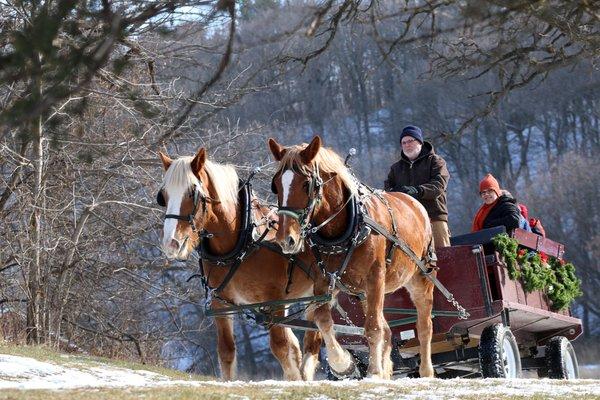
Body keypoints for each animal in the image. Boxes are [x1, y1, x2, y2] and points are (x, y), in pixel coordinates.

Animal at [156, 148, 314, 380]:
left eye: (192, 193)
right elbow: (226, 351)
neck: (243, 242)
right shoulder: (220, 303)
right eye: (164, 195)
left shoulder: (274, 302)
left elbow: (281, 348)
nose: (171, 243)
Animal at [270, 137, 434, 378]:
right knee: (387, 331)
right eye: (276, 185)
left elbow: (373, 327)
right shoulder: (324, 281)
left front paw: (373, 372)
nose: (285, 239)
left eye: (306, 184)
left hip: (419, 278)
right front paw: (343, 362)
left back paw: (426, 370)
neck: (343, 231)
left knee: (424, 325)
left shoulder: (375, 278)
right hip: (362, 293)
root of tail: (413, 202)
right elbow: (322, 319)